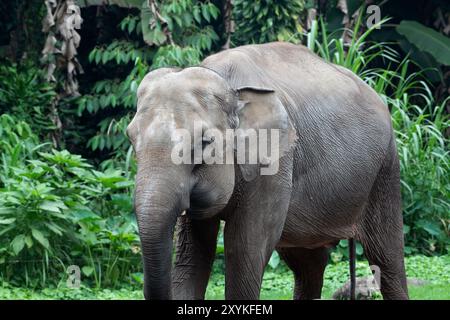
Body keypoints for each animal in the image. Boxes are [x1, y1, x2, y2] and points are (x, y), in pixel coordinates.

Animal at [125, 42, 408, 300]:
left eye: (205, 142)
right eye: (130, 137)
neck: (229, 85)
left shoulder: (274, 163)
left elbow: (244, 248)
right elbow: (192, 254)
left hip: (385, 169)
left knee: (387, 259)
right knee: (308, 264)